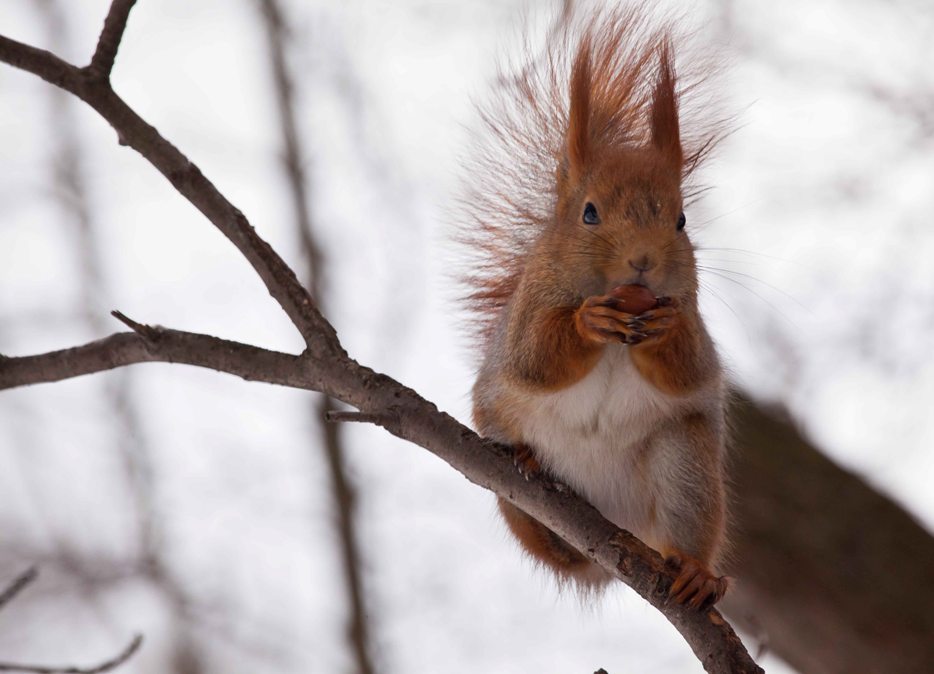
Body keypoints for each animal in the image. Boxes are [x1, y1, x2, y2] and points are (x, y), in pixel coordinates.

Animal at [460, 5, 732, 608]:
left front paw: (664, 328)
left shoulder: (695, 315)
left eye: (681, 220)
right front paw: (588, 322)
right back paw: (531, 472)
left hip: (685, 461)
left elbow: (691, 368)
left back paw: (696, 572)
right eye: (589, 213)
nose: (643, 261)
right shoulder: (527, 312)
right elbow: (534, 359)